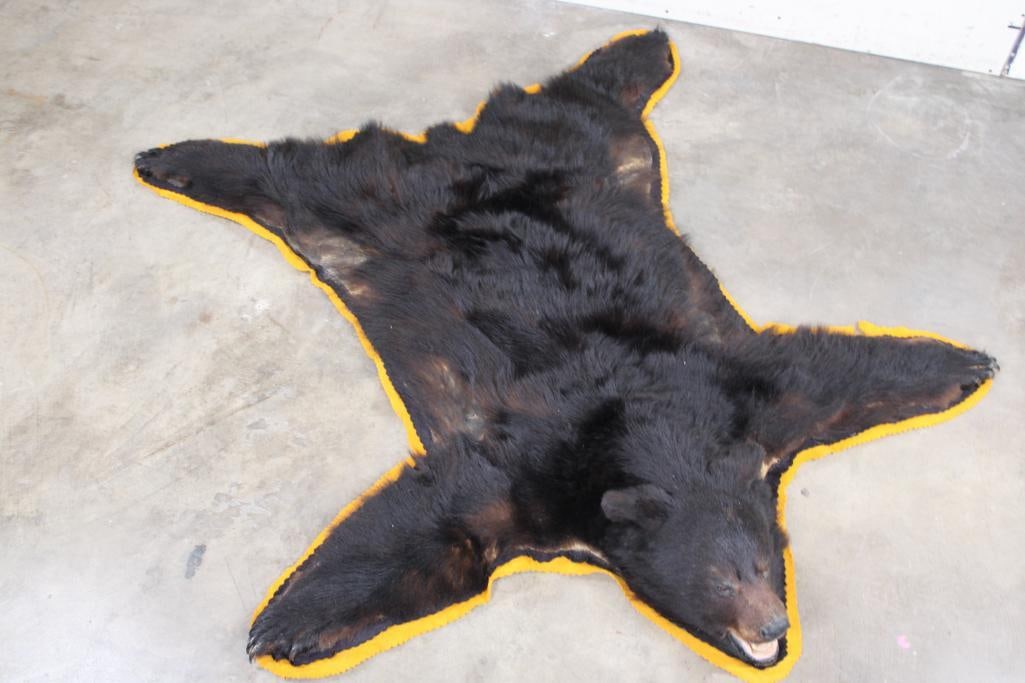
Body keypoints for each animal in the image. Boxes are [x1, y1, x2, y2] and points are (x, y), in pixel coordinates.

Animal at [134, 30, 996, 672]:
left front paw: (964, 364)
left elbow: (832, 374)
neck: (645, 439)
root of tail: (461, 147)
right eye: (726, 577)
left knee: (581, 100)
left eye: (764, 561)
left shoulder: (740, 389)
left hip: (597, 154)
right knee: (313, 170)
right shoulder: (532, 462)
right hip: (389, 201)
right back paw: (173, 157)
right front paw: (287, 618)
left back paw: (644, 46)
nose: (772, 627)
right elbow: (438, 526)